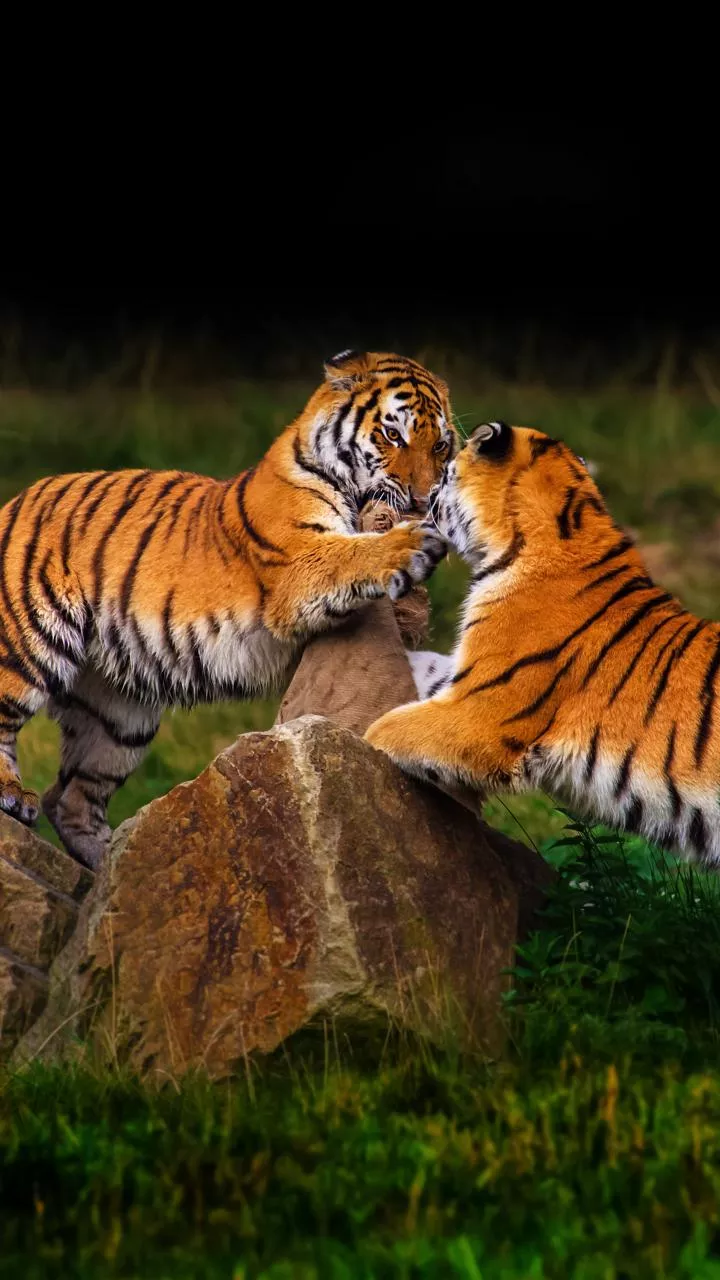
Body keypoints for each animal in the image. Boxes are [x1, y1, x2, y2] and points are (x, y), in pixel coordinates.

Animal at [0, 350, 454, 868]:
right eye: (392, 435)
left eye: (441, 446)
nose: (424, 499)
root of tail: (14, 501)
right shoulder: (300, 566)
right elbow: (354, 554)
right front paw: (414, 542)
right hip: (28, 639)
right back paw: (15, 798)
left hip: (120, 716)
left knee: (69, 798)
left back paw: (119, 861)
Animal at [366, 419, 720, 864]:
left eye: (446, 471)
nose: (425, 494)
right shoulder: (474, 679)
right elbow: (426, 664)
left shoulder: (479, 715)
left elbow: (382, 730)